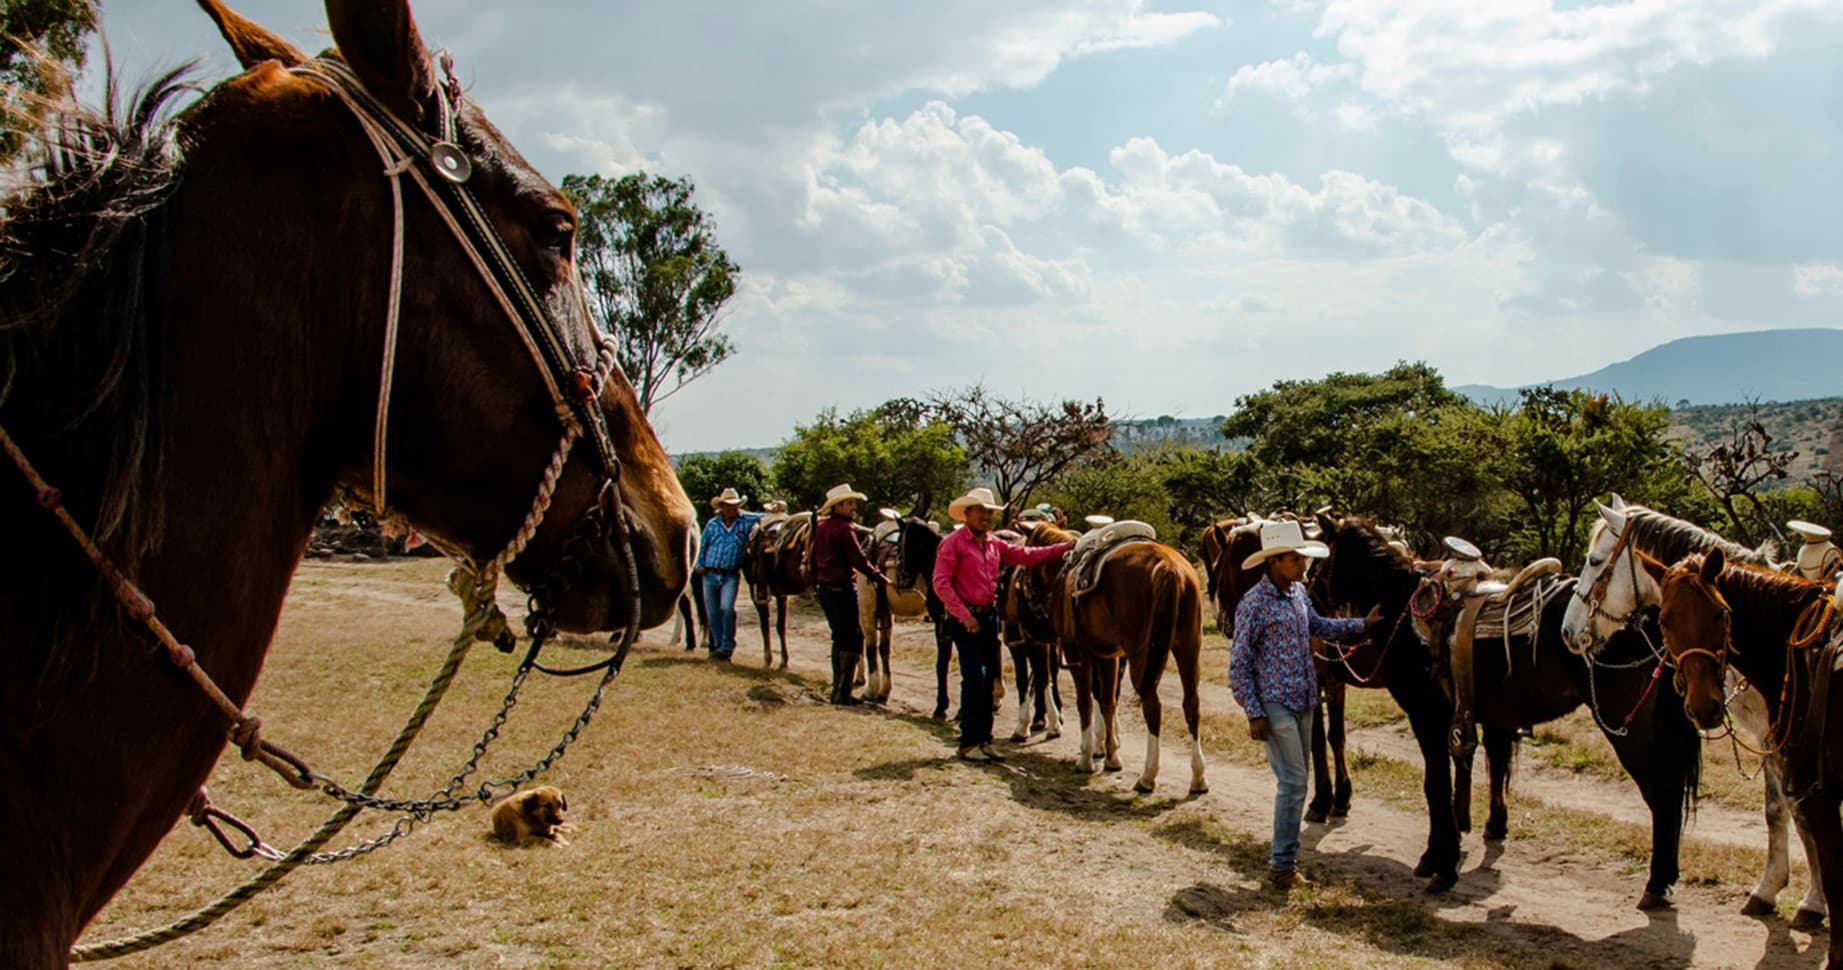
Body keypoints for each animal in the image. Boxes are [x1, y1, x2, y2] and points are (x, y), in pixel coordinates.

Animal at [1018, 523, 1207, 795]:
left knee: (1153, 706)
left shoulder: (1079, 655)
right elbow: (1107, 702)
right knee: (1191, 704)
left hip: (1142, 658)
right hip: (1188, 649)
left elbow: (1086, 703)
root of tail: (1169, 568)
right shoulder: (1107, 656)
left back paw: (1148, 776)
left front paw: (1086, 757)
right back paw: (1198, 777)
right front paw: (1111, 756)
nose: (1027, 595)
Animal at [1313, 515, 1698, 904]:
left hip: (1627, 728)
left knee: (1662, 793)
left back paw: (1657, 882)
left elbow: (1435, 785)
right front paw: (1436, 856)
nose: (1310, 601)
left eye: (1319, 563)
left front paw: (1443, 865)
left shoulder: (1426, 717)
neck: (1400, 609)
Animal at [1562, 496, 1827, 927]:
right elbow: (1778, 809)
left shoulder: (1788, 738)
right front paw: (1769, 889)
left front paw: (1814, 901)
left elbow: (1803, 811)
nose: (1568, 631)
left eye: (1595, 560)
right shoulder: (1768, 737)